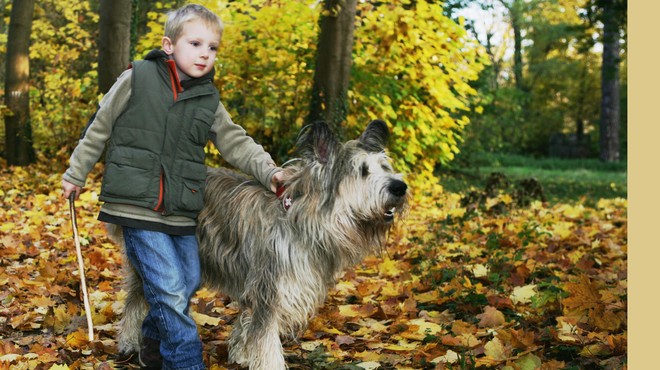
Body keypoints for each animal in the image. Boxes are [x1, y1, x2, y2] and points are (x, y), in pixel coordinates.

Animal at [118, 120, 408, 368]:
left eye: (384, 167)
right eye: (362, 171)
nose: (400, 187)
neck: (302, 219)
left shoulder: (258, 286)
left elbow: (248, 325)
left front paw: (241, 355)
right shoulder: (270, 286)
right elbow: (266, 339)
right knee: (138, 299)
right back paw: (130, 342)